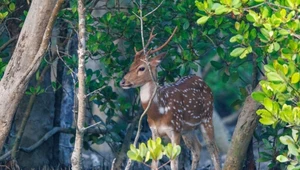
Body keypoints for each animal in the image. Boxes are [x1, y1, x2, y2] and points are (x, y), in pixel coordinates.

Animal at [119, 27, 220, 170]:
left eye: (141, 68)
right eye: (130, 66)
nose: (122, 82)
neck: (159, 111)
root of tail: (202, 80)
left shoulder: (174, 129)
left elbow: (174, 163)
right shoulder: (154, 131)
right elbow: (154, 164)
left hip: (207, 118)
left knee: (213, 150)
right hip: (187, 130)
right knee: (197, 148)